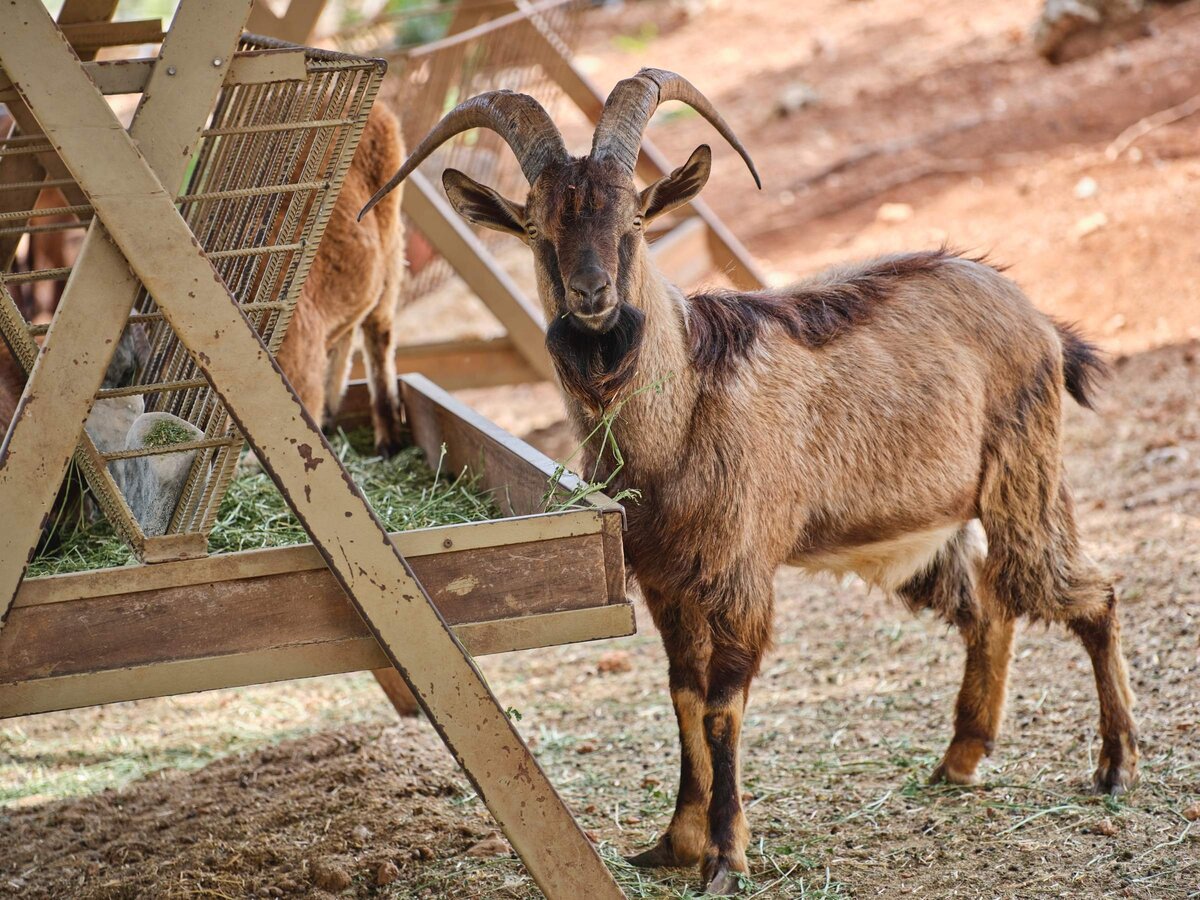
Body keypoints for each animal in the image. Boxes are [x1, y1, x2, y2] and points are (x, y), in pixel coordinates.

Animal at [364, 72, 1142, 897]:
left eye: (634, 218)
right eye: (538, 229)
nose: (592, 295)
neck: (682, 415)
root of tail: (1038, 318)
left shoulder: (739, 574)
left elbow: (720, 705)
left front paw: (724, 857)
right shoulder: (663, 581)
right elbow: (681, 694)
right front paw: (671, 842)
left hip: (1025, 478)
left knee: (1086, 593)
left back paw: (1115, 764)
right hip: (924, 529)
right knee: (990, 606)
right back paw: (961, 759)